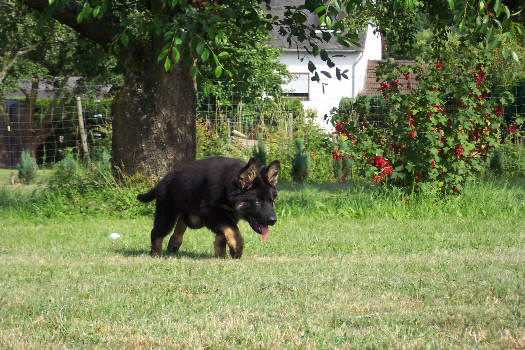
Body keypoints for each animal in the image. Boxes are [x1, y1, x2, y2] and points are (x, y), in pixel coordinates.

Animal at [137, 157, 280, 258]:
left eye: (272, 201)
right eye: (257, 202)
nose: (273, 220)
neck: (228, 189)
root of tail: (161, 182)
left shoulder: (226, 215)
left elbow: (223, 235)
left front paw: (220, 255)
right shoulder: (212, 211)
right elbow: (233, 230)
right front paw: (237, 249)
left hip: (190, 213)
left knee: (182, 222)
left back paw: (174, 242)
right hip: (167, 214)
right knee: (156, 232)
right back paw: (156, 253)